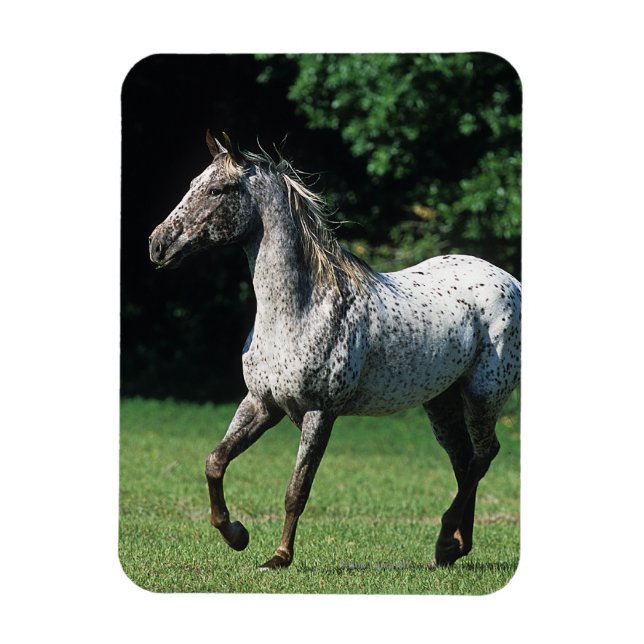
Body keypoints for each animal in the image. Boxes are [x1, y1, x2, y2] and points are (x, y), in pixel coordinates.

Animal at [148, 131, 521, 570]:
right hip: (441, 402)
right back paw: (455, 547)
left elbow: (297, 489)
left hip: (483, 395)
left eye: (218, 189)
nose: (157, 244)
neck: (300, 309)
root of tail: (510, 281)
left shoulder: (319, 413)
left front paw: (279, 557)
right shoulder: (261, 403)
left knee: (483, 455)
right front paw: (236, 535)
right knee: (464, 462)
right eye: (193, 183)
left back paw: (447, 541)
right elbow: (215, 461)